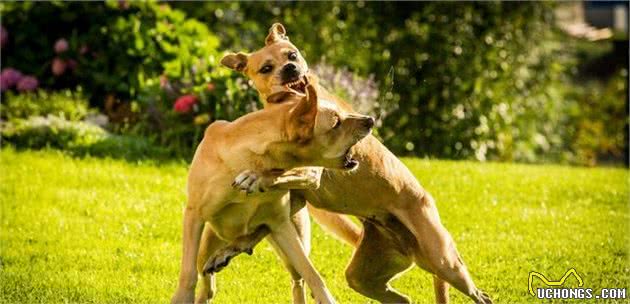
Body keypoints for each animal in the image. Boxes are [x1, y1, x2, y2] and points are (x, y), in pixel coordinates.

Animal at [170, 83, 376, 304]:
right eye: (336, 122)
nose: (370, 120)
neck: (250, 158)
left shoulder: (281, 226)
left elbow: (312, 274)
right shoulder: (194, 215)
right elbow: (188, 272)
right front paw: (183, 296)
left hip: (291, 237)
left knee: (297, 279)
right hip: (208, 241)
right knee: (203, 270)